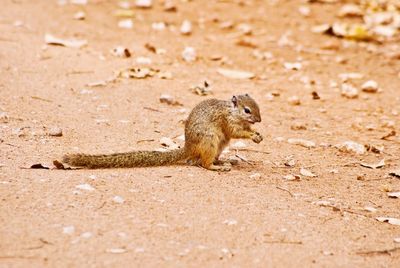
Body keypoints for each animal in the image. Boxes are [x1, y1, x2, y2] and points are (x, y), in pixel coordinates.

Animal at [62, 93, 262, 171]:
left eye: (257, 106)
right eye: (247, 110)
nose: (259, 120)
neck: (232, 111)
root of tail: (188, 148)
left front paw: (258, 135)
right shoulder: (229, 122)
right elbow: (237, 132)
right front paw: (253, 135)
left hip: (219, 144)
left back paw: (224, 161)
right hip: (210, 141)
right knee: (203, 163)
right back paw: (218, 167)